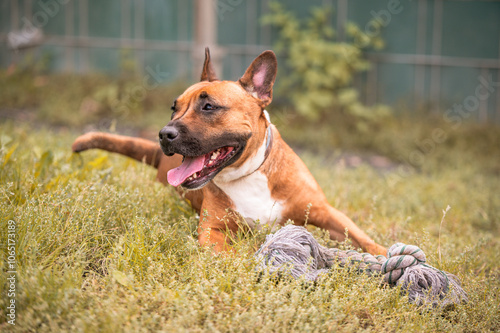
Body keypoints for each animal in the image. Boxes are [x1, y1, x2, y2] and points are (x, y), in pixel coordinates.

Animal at [73, 48, 386, 254]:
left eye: (209, 106)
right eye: (174, 108)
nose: (164, 134)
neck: (250, 174)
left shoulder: (326, 212)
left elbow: (364, 239)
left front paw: (386, 256)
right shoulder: (212, 230)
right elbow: (230, 254)